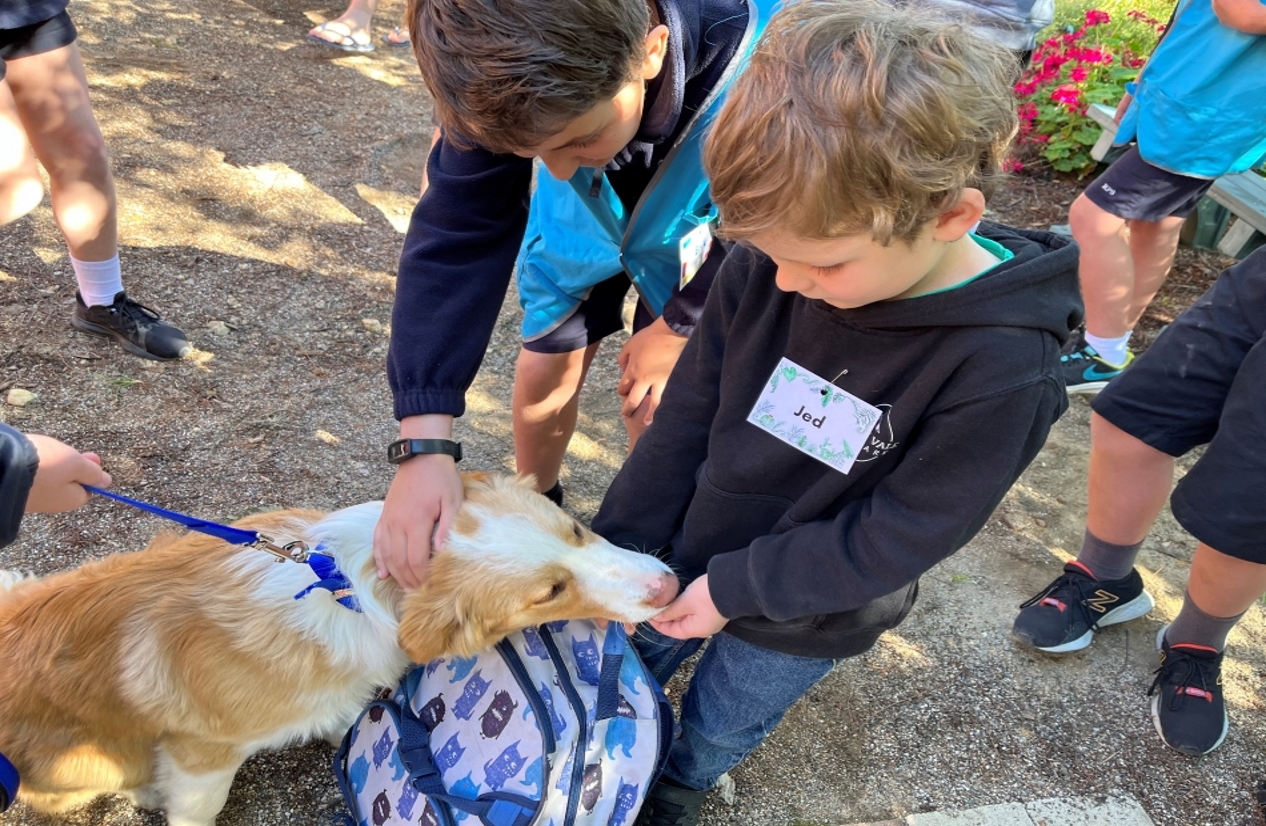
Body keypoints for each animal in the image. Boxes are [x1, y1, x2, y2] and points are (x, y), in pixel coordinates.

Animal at [0, 473, 678, 820]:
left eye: (576, 529)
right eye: (550, 592)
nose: (670, 587)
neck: (346, 587)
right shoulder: (203, 755)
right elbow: (199, 808)